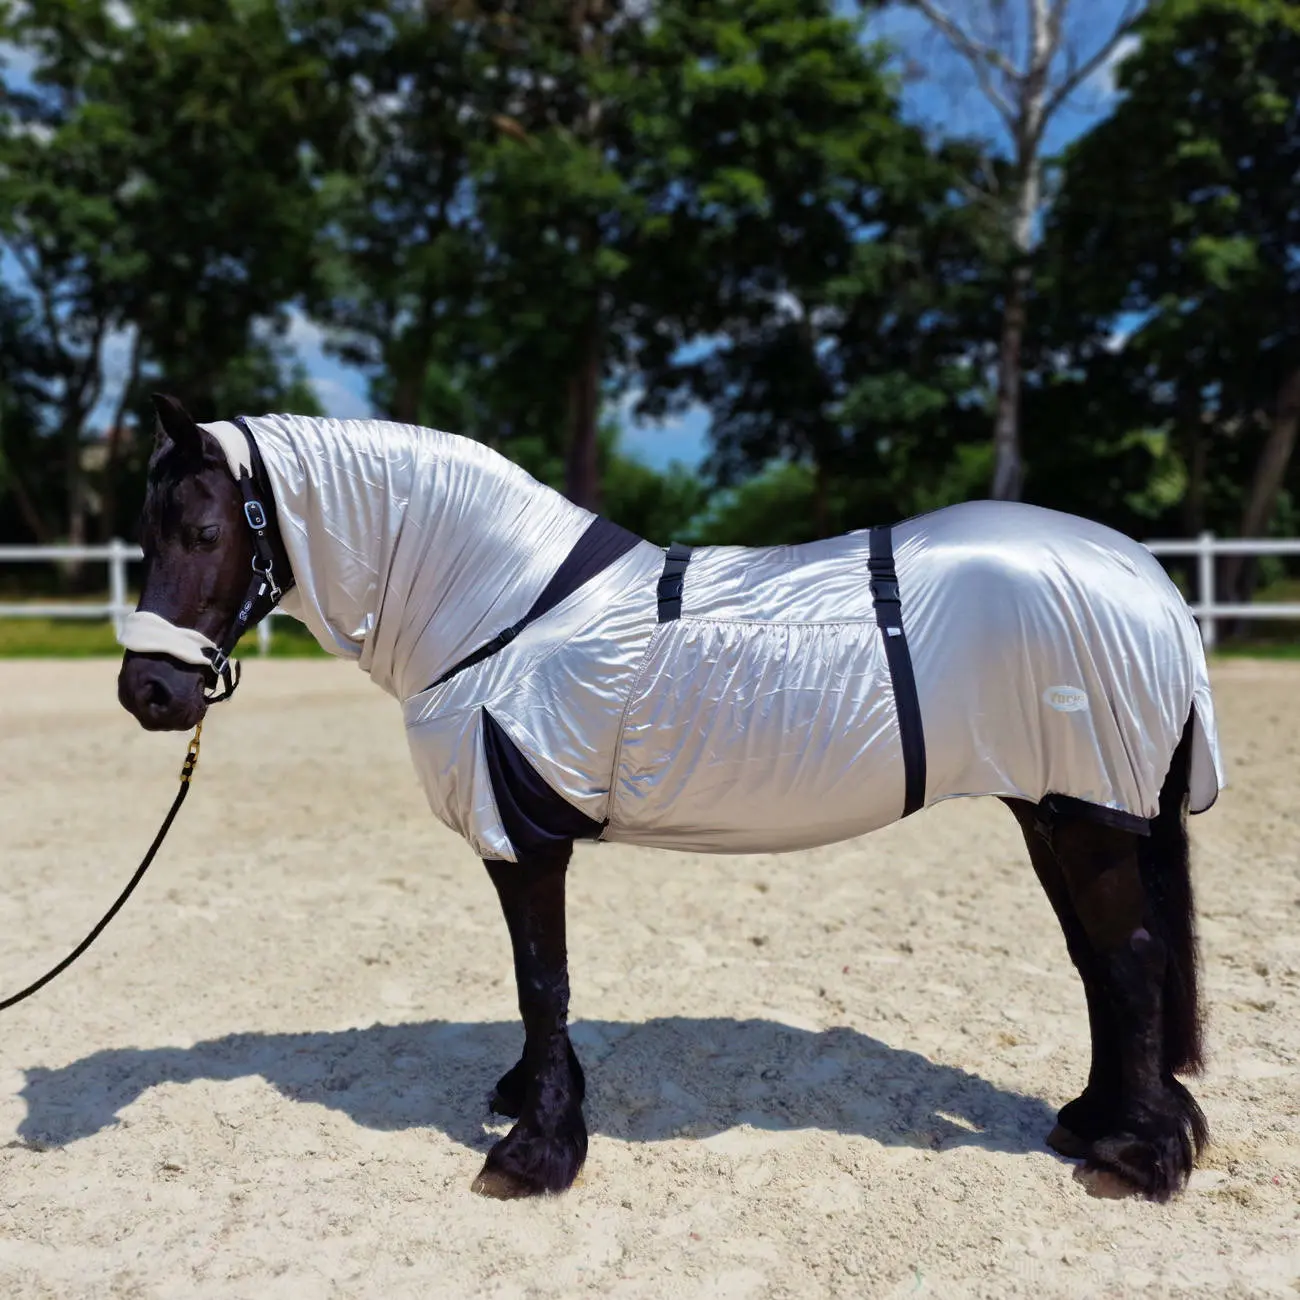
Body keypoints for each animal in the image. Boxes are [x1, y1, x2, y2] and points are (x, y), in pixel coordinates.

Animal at [117, 393, 1224, 1202]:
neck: (498, 603)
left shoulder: (523, 834)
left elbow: (542, 979)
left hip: (1084, 813)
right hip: (1051, 809)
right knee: (1097, 960)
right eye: (143, 531)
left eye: (204, 527)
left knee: (1128, 959)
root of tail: (1145, 577)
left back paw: (1138, 1156)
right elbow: (536, 983)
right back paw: (1095, 1120)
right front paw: (534, 1101)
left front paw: (536, 1149)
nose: (149, 693)